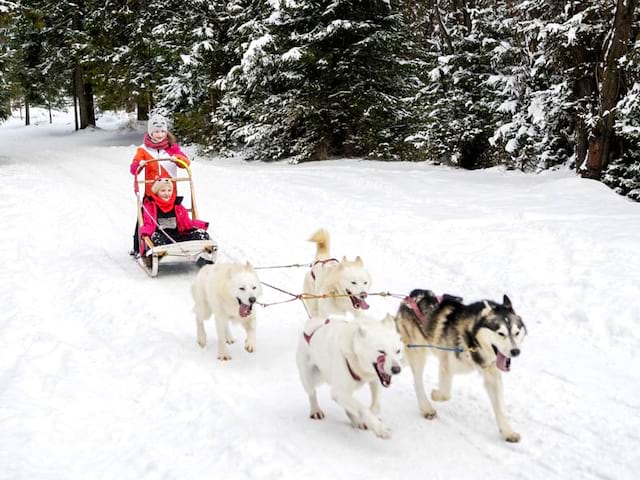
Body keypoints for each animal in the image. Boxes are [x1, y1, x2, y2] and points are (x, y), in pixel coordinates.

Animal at [398, 288, 528, 442]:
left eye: (516, 333)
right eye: (500, 333)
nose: (515, 351)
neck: (472, 341)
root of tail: (411, 296)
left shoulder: (492, 375)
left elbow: (500, 408)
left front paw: (508, 432)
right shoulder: (446, 365)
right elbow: (445, 394)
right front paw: (435, 394)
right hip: (418, 353)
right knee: (417, 381)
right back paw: (426, 407)